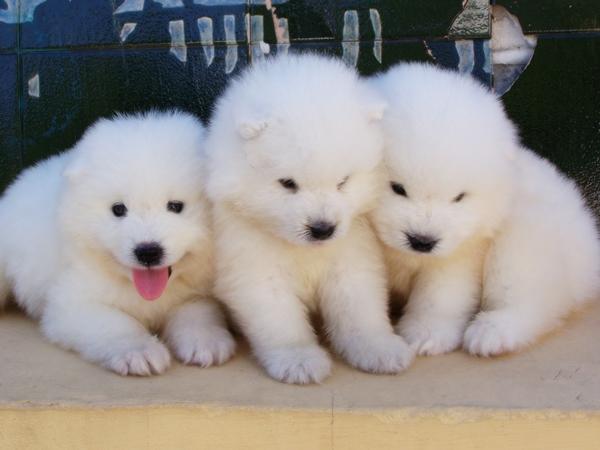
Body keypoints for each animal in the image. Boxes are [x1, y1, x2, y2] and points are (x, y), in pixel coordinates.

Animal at [0, 111, 237, 376]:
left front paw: (206, 342)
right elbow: (117, 323)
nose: (148, 251)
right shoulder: (74, 302)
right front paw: (139, 351)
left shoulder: (196, 293)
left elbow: (198, 312)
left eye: (176, 206)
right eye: (118, 209)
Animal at [205, 52, 412, 384]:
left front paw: (379, 348)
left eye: (343, 182)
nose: (322, 229)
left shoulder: (351, 256)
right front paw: (299, 359)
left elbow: (360, 307)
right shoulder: (254, 266)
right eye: (288, 183)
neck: (303, 251)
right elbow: (280, 319)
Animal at [370, 64, 600, 358]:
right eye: (397, 188)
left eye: (459, 197)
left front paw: (427, 334)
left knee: (531, 298)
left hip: (523, 238)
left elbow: (440, 294)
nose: (422, 241)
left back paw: (492, 332)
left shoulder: (463, 249)